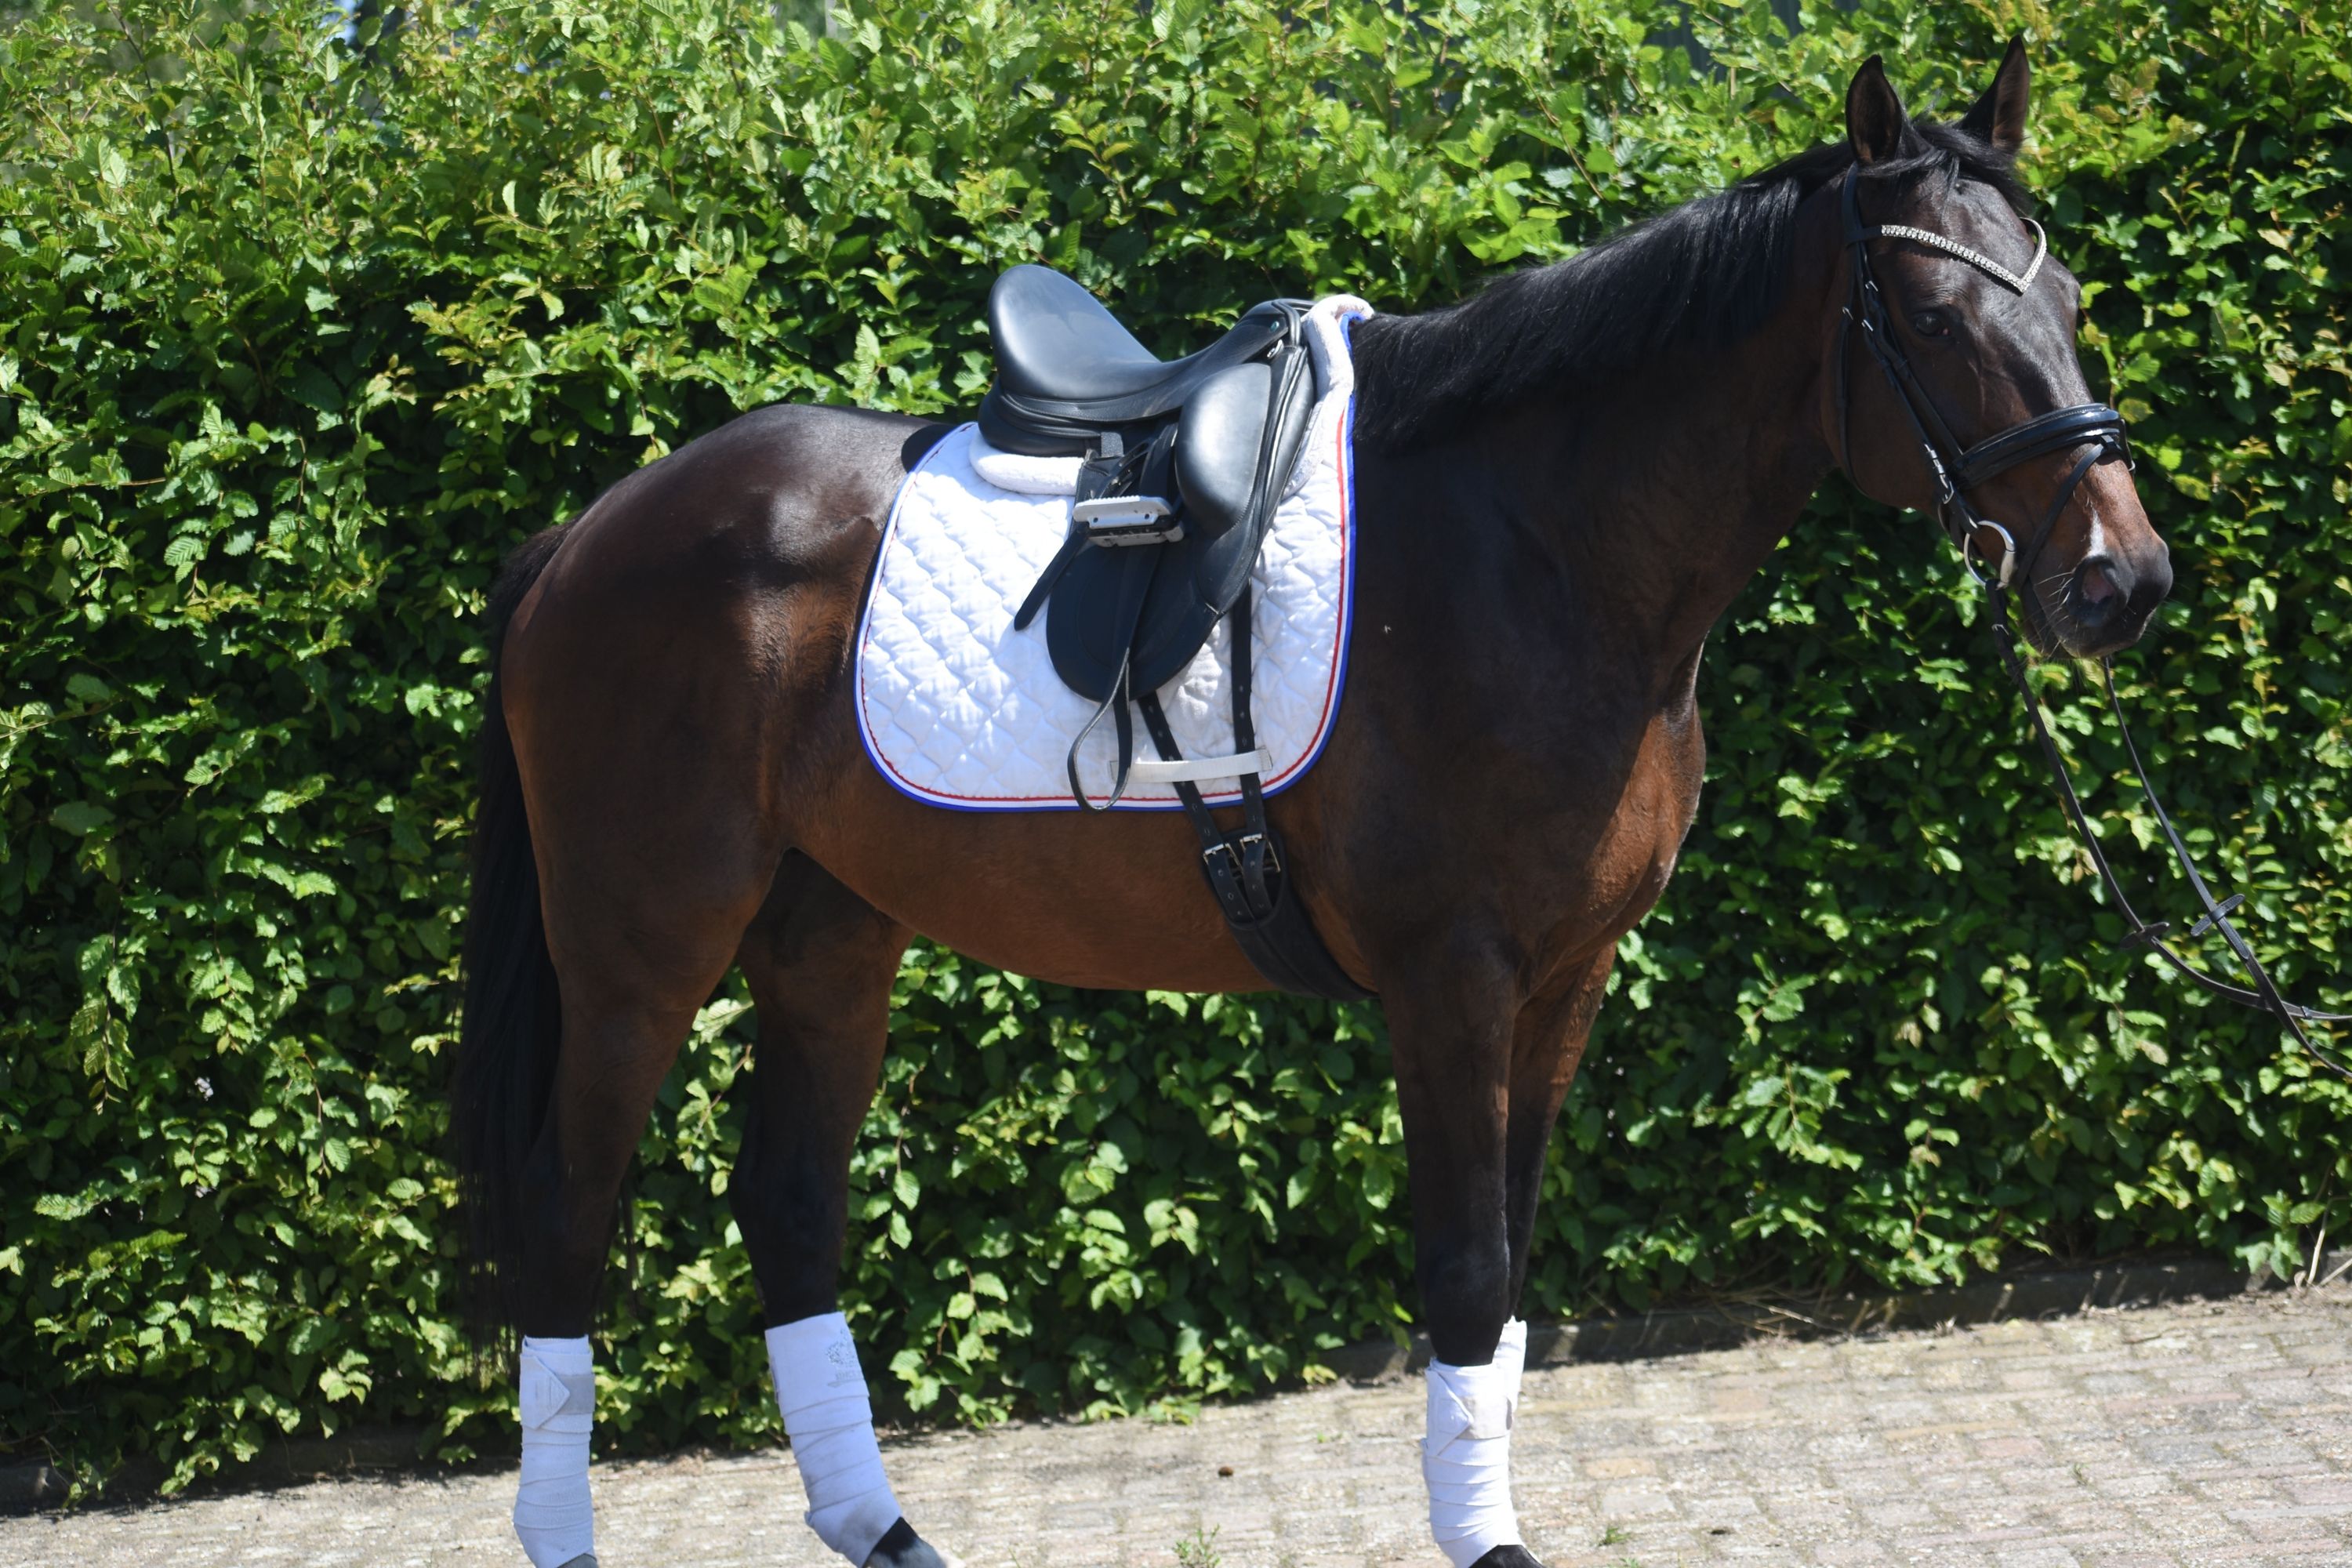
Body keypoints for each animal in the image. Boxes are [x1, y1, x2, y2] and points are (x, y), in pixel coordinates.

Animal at [452, 42, 2171, 1568]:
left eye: (2075, 304)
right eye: (1937, 317)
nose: (2121, 580)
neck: (1537, 546)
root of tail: (588, 534)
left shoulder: (1565, 980)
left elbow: (1509, 1270)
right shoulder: (1451, 978)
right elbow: (1465, 1271)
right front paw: (1485, 1539)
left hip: (829, 937)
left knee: (791, 1212)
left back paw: (882, 1530)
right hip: (640, 954)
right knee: (566, 1221)